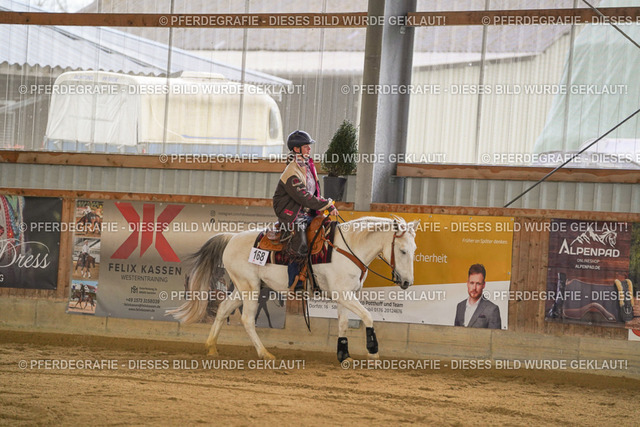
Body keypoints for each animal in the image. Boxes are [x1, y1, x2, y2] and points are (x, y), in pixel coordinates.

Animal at [167, 216, 419, 363]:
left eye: (415, 249)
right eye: (403, 250)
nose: (407, 282)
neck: (348, 249)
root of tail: (231, 238)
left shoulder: (345, 294)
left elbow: (343, 323)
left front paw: (343, 355)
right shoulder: (343, 294)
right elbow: (367, 316)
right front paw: (372, 351)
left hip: (243, 287)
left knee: (222, 310)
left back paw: (212, 347)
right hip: (250, 289)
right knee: (247, 319)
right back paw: (265, 353)